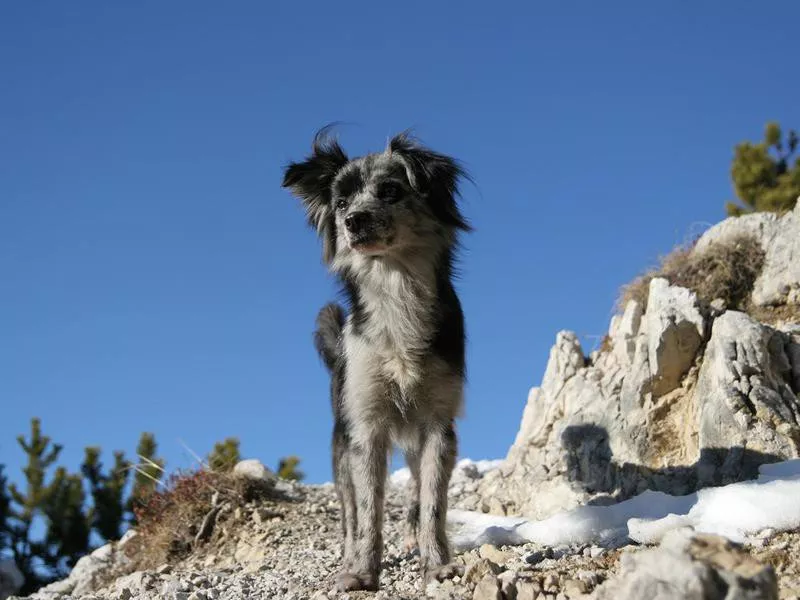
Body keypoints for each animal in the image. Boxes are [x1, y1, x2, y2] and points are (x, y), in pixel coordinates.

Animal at [282, 126, 468, 592]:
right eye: (341, 203)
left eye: (390, 191)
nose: (354, 220)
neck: (396, 290)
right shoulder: (366, 429)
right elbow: (368, 512)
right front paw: (362, 571)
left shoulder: (438, 425)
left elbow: (433, 505)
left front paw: (437, 565)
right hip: (341, 446)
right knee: (350, 514)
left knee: (418, 494)